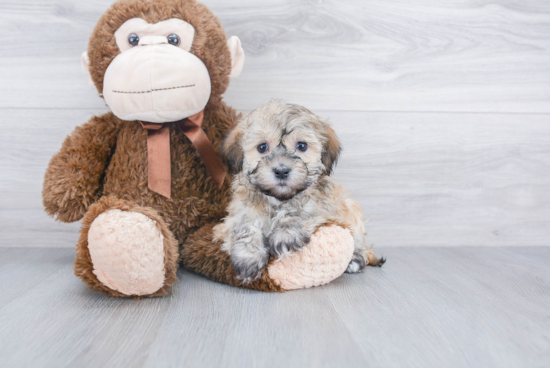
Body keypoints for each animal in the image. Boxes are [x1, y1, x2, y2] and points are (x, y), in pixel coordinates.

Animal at [213, 100, 386, 282]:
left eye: (301, 146)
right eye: (262, 147)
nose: (281, 171)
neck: (279, 199)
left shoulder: (327, 209)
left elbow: (300, 212)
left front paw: (285, 234)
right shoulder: (236, 216)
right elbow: (246, 226)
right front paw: (248, 257)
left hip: (352, 212)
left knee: (360, 246)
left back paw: (354, 261)